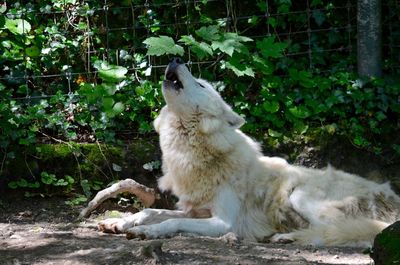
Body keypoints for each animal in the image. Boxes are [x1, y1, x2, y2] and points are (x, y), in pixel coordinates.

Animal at [97, 57, 400, 245]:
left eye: (201, 84)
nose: (177, 59)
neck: (195, 151)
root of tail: (389, 195)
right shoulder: (197, 211)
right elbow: (152, 211)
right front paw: (120, 223)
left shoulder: (222, 222)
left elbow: (169, 222)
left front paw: (146, 232)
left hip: (301, 197)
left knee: (347, 233)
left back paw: (287, 238)